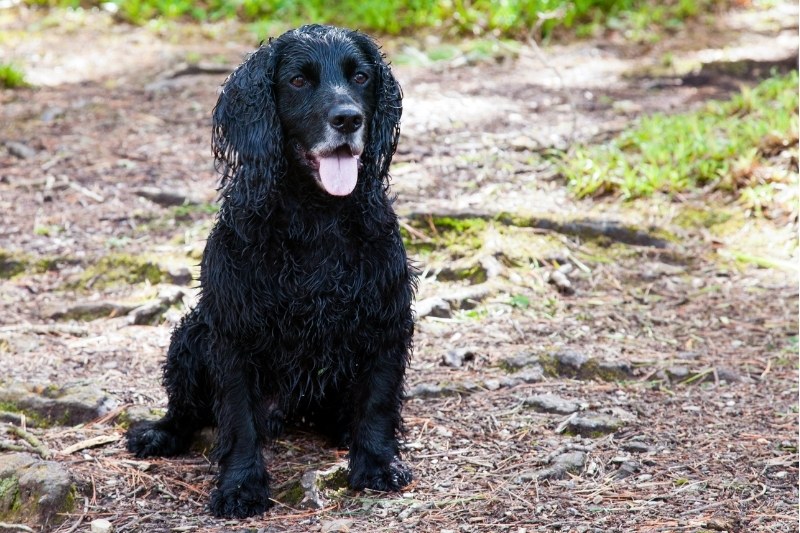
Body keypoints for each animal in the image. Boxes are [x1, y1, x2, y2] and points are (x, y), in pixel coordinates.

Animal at [128, 23, 416, 516]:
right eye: (298, 81)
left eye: (360, 77)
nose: (347, 120)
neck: (316, 217)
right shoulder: (232, 333)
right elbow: (238, 419)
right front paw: (241, 486)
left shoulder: (386, 318)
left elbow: (378, 401)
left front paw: (378, 463)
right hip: (190, 334)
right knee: (185, 412)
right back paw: (159, 433)